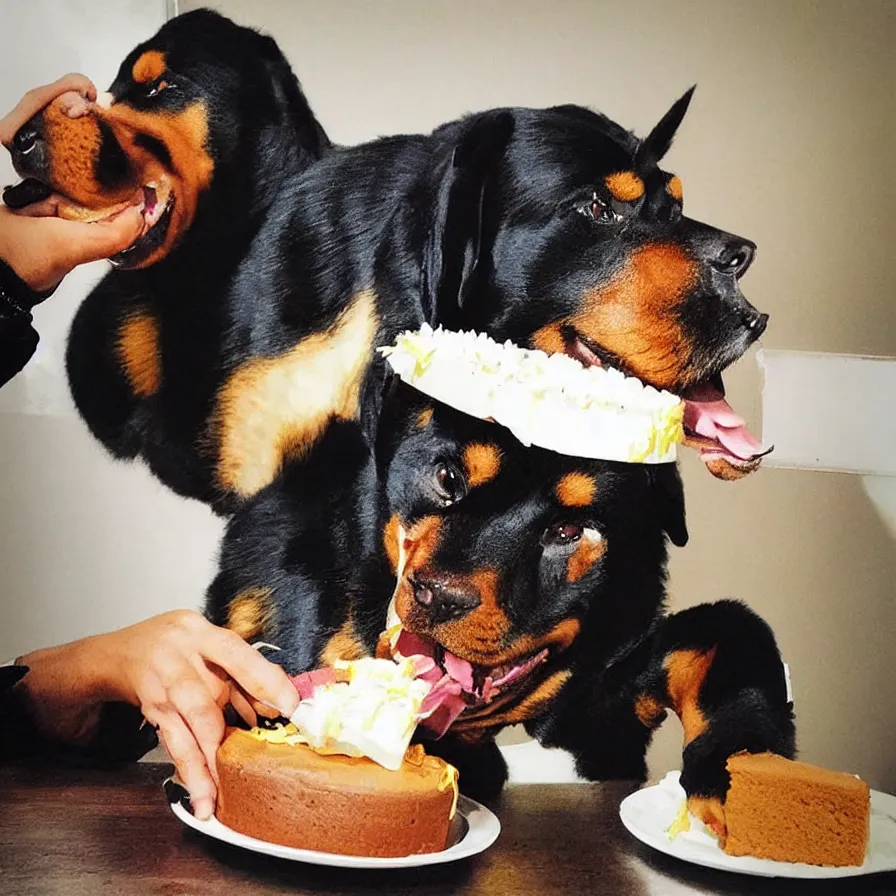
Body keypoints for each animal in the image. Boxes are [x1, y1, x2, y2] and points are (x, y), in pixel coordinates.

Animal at [206, 376, 796, 824]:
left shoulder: (616, 681)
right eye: (447, 478)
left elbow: (730, 628)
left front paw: (734, 777)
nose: (437, 596)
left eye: (571, 529)